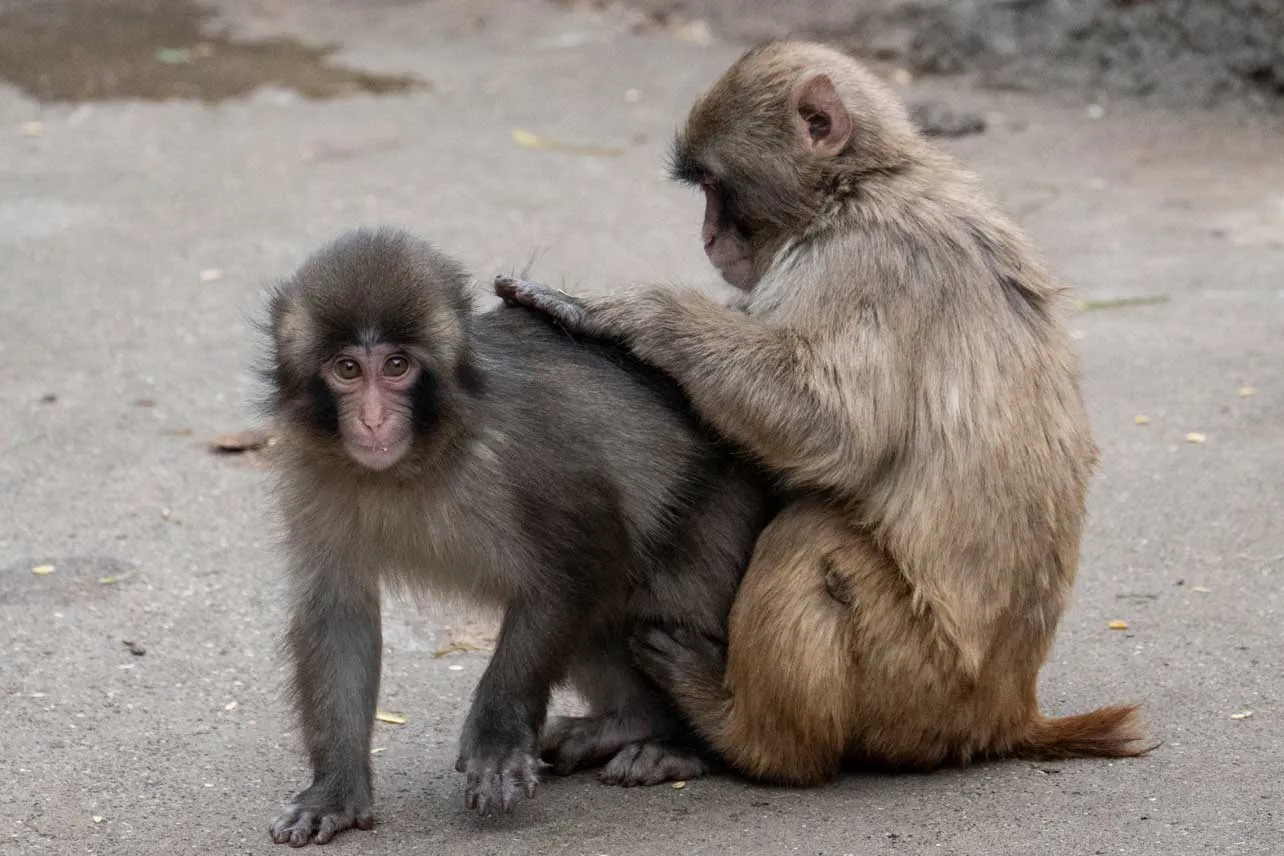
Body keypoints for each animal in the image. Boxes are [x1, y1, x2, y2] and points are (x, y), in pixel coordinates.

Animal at [261, 228, 769, 846]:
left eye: (398, 365)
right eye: (349, 370)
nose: (375, 420)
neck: (419, 456)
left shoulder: (523, 450)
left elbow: (583, 560)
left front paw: (497, 737)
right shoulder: (314, 472)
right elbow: (338, 612)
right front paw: (334, 792)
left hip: (725, 502)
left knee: (655, 576)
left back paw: (685, 742)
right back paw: (630, 723)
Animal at [494, 40, 1148, 786]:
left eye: (714, 186)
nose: (708, 237)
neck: (859, 186)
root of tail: (1008, 711)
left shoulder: (862, 262)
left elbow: (834, 430)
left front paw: (631, 312)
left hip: (917, 681)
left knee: (809, 537)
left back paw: (742, 734)